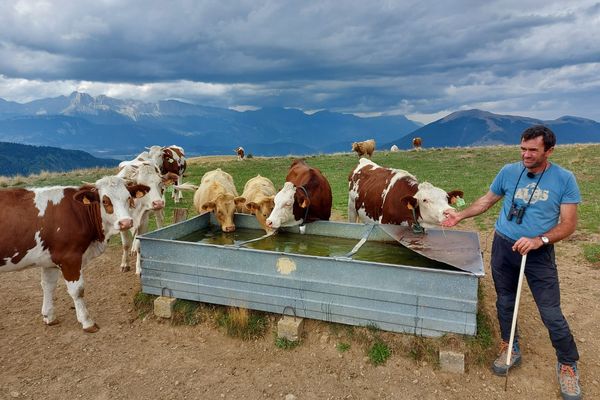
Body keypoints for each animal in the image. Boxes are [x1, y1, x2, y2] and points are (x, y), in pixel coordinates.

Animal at [0, 177, 149, 332]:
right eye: (105, 201)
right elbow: (77, 291)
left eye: (128, 198)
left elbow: (48, 286)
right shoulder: (69, 258)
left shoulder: (49, 260)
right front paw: (87, 322)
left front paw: (49, 316)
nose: (126, 222)